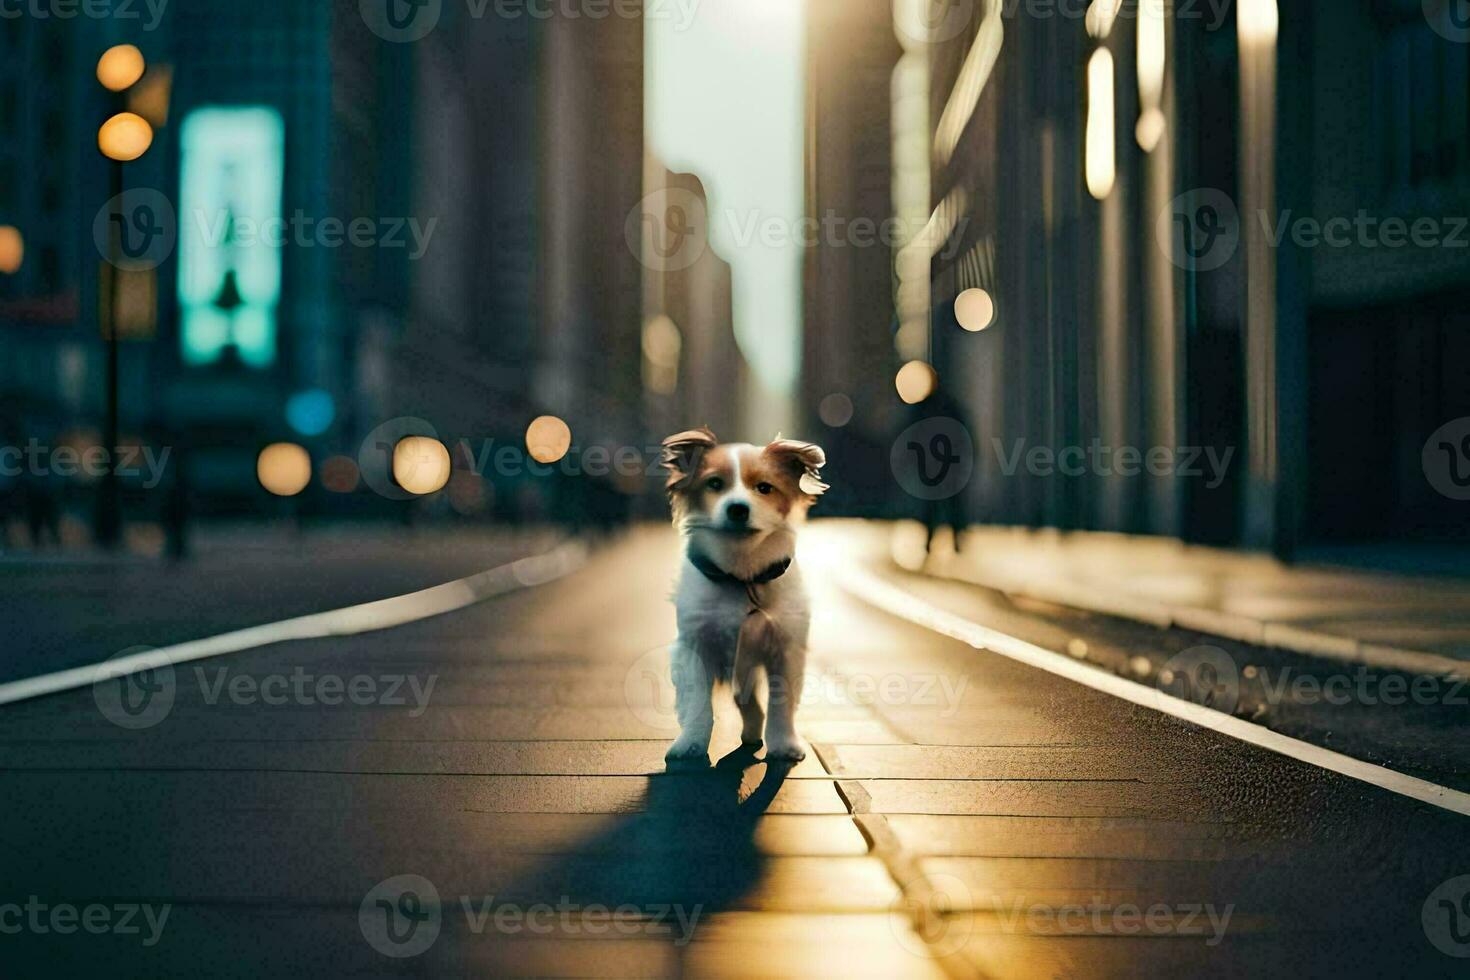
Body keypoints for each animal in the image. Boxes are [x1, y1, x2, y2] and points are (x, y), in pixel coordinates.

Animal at [664, 431, 829, 764]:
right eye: (715, 483)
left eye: (764, 488)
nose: (737, 508)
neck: (741, 574)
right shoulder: (693, 647)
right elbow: (699, 703)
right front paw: (691, 743)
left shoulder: (785, 649)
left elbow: (781, 702)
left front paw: (783, 744)